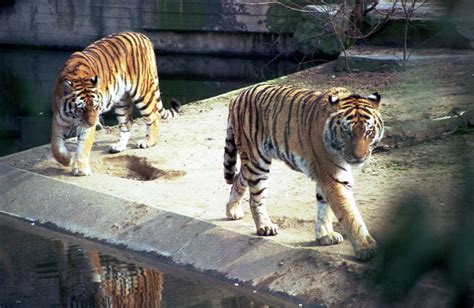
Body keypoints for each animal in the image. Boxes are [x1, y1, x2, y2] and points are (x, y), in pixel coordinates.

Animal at [50, 31, 180, 176]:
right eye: (81, 109)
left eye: (95, 106)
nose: (92, 123)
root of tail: (142, 36)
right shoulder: (58, 119)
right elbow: (56, 147)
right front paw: (67, 159)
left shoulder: (86, 126)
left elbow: (83, 146)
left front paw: (81, 168)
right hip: (121, 101)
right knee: (127, 123)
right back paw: (119, 146)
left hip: (142, 92)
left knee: (153, 117)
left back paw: (148, 142)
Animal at [224, 84, 384, 260]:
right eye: (347, 132)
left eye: (369, 131)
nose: (359, 157)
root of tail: (238, 95)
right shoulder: (333, 177)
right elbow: (349, 214)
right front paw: (366, 247)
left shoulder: (326, 177)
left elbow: (324, 208)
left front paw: (325, 235)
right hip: (257, 161)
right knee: (255, 199)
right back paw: (265, 226)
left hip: (250, 162)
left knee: (238, 178)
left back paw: (232, 210)